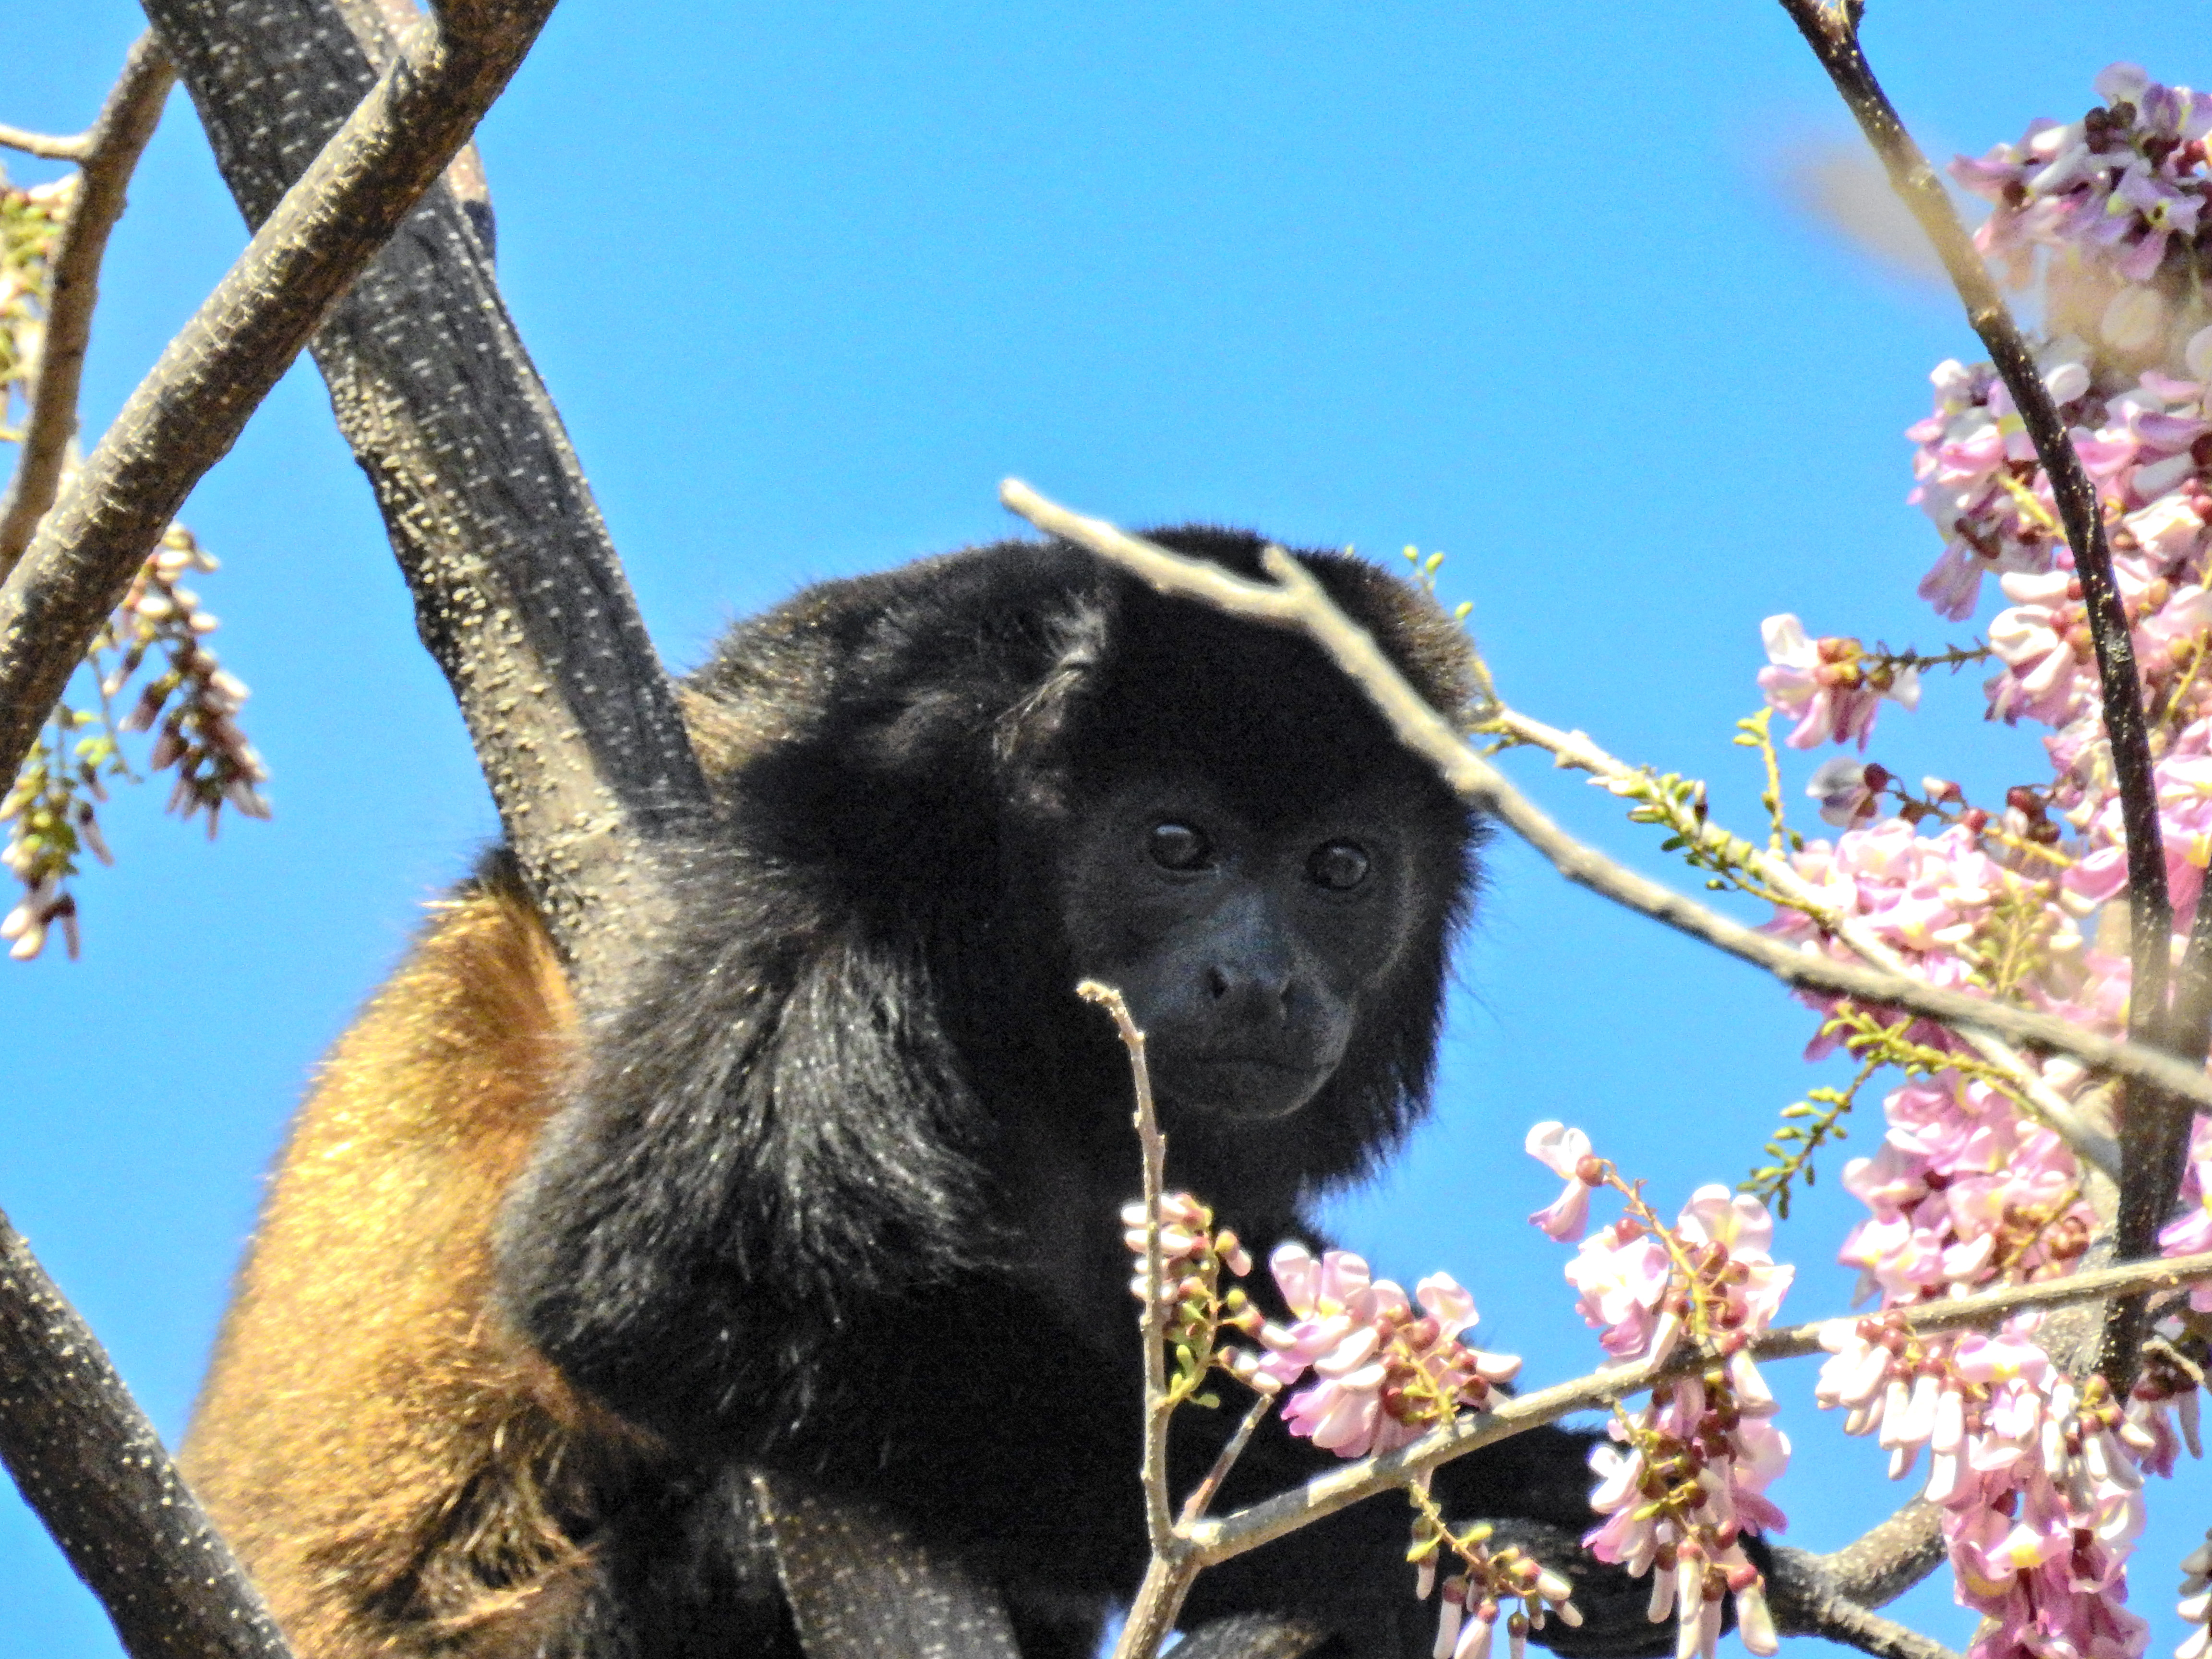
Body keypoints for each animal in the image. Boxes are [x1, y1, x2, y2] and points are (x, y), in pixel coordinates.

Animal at [186, 529, 1646, 1659]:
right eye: (1175, 844)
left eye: (1341, 869)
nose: (1264, 979)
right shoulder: (872, 817)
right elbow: (643, 1272)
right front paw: (1440, 1499)